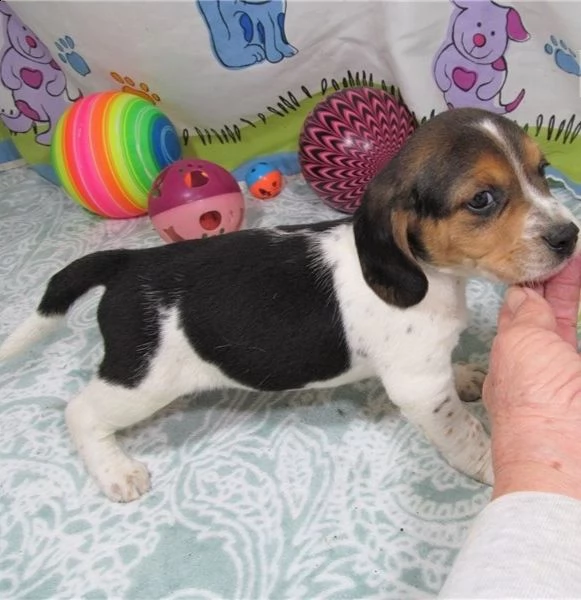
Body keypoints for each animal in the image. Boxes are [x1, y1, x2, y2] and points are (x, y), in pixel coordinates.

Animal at [2, 108, 576, 502]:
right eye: (482, 200)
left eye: (543, 171)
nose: (569, 236)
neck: (433, 276)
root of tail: (127, 263)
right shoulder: (419, 390)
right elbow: (463, 433)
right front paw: (494, 465)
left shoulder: (427, 368)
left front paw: (467, 374)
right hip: (142, 379)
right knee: (80, 412)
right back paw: (115, 471)